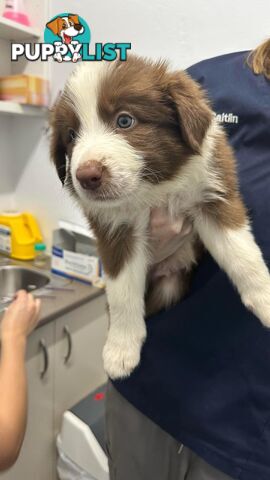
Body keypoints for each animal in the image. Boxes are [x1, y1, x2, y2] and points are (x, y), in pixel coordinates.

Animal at [49, 56, 270, 378]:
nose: (86, 176)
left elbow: (243, 255)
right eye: (71, 135)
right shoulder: (115, 232)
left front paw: (266, 300)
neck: (155, 189)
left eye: (124, 120)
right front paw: (120, 350)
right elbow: (122, 293)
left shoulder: (214, 196)